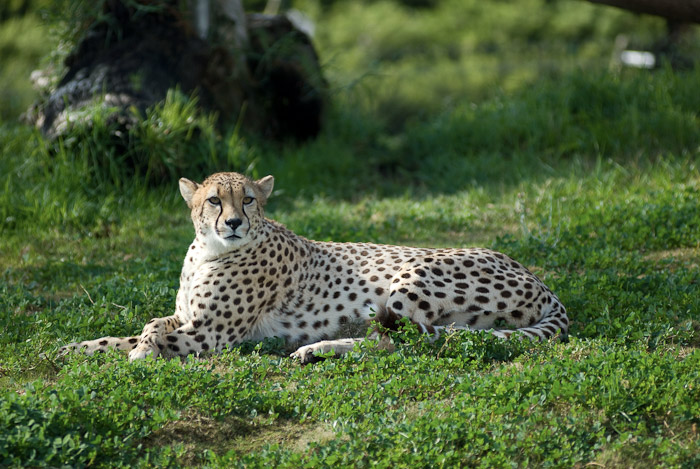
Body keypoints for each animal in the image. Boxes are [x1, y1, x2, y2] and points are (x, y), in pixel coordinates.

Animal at [60, 171, 569, 364]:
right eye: (214, 200)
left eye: (247, 199)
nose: (234, 222)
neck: (207, 252)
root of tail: (538, 279)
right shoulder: (186, 317)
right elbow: (138, 327)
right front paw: (76, 347)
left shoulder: (209, 336)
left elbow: (152, 336)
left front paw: (142, 354)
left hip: (412, 279)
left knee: (410, 342)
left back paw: (315, 349)